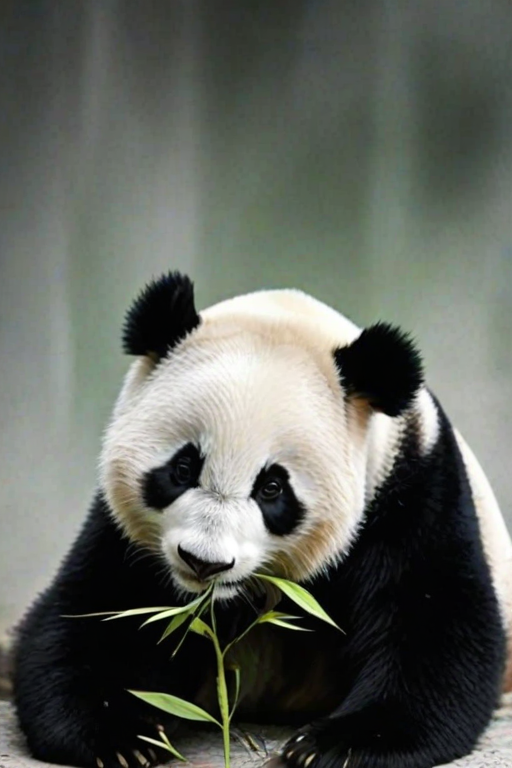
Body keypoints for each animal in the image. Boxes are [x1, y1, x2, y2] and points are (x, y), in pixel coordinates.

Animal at [12, 272, 512, 768]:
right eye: (183, 468)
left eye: (272, 488)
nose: (203, 562)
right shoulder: (124, 538)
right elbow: (92, 616)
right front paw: (121, 737)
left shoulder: (413, 487)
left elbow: (436, 626)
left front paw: (334, 745)